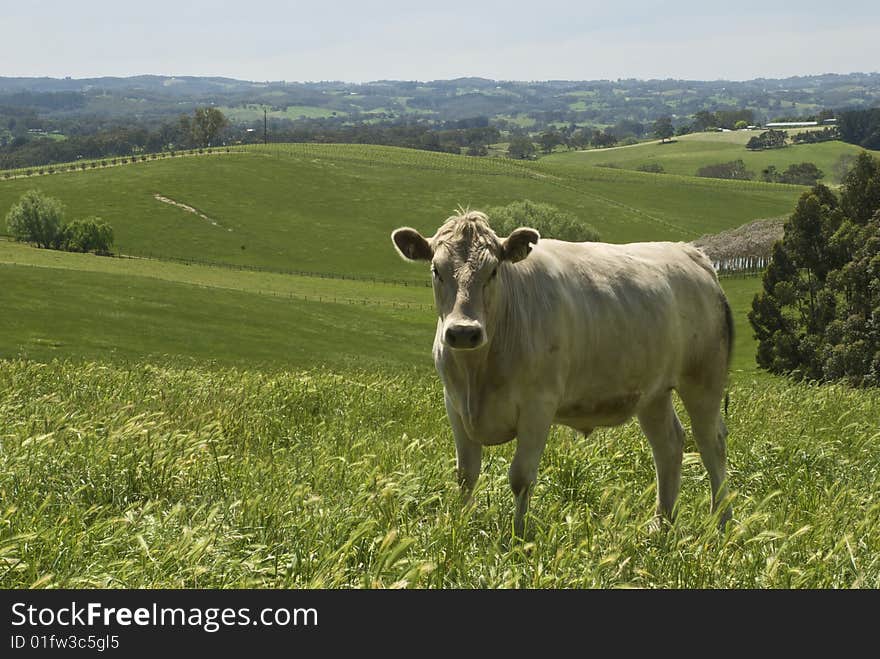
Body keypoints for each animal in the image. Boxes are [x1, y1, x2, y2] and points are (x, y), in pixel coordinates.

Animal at [392, 209, 736, 540]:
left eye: (493, 271)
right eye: (436, 270)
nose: (463, 332)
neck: (478, 372)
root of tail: (690, 253)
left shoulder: (538, 405)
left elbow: (521, 477)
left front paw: (517, 536)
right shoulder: (454, 404)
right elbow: (466, 474)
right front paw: (462, 526)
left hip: (704, 380)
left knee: (711, 443)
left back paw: (720, 523)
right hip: (653, 392)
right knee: (668, 445)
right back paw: (661, 524)